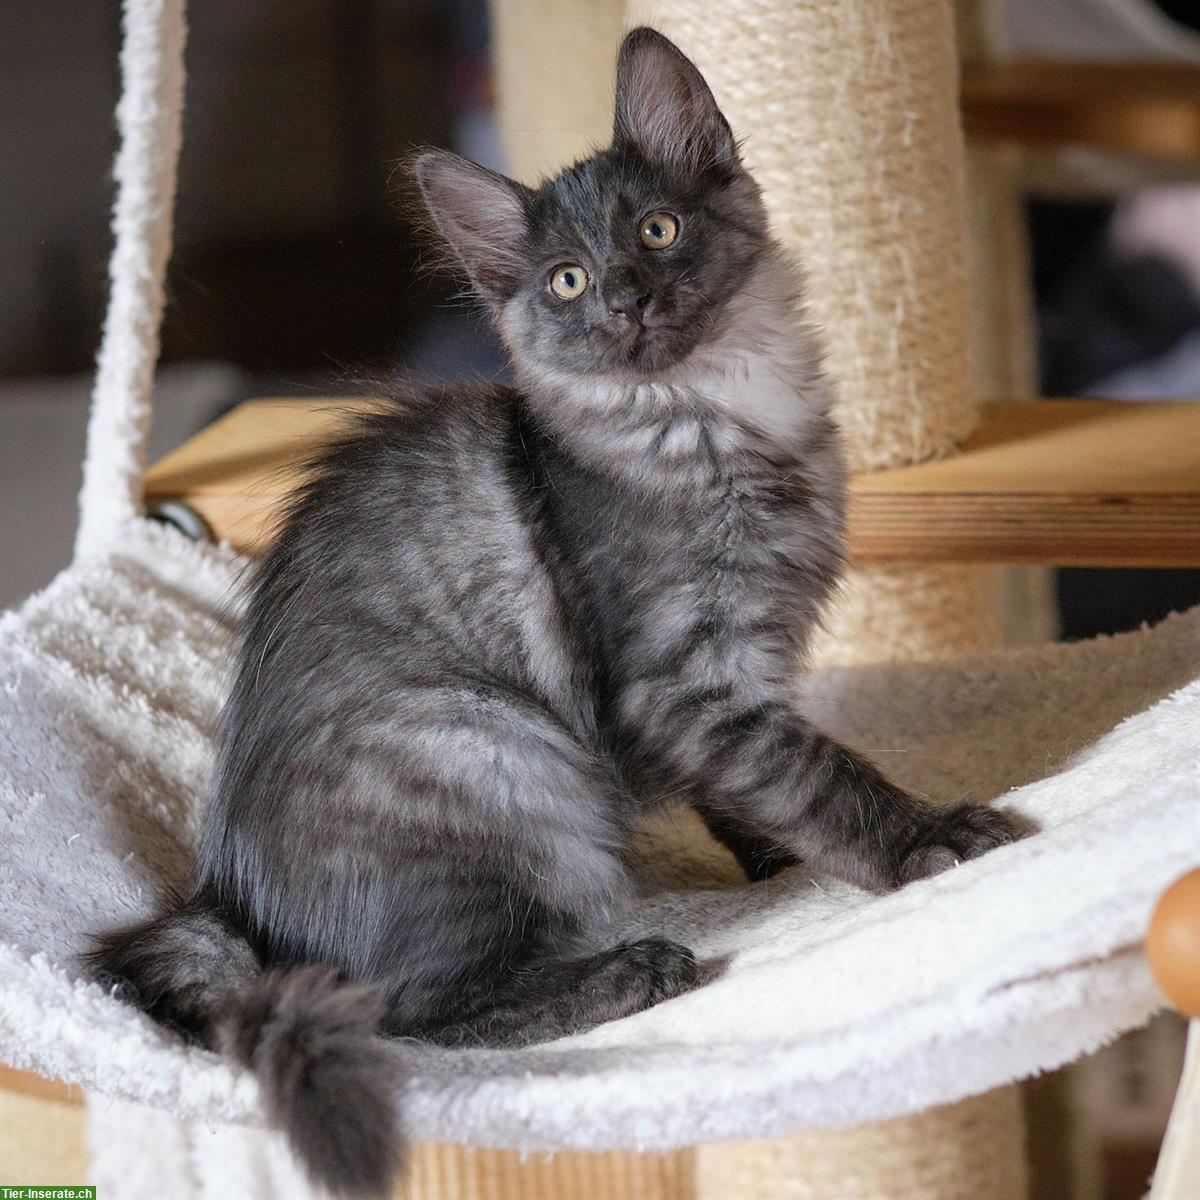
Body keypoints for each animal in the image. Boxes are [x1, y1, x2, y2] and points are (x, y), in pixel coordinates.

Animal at [88, 28, 1017, 1200]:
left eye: (658, 230)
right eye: (566, 281)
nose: (622, 298)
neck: (709, 413)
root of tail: (232, 908)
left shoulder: (725, 691)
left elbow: (753, 788)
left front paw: (778, 857)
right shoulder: (681, 682)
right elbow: (821, 773)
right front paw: (923, 841)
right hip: (499, 750)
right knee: (411, 1014)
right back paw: (634, 970)